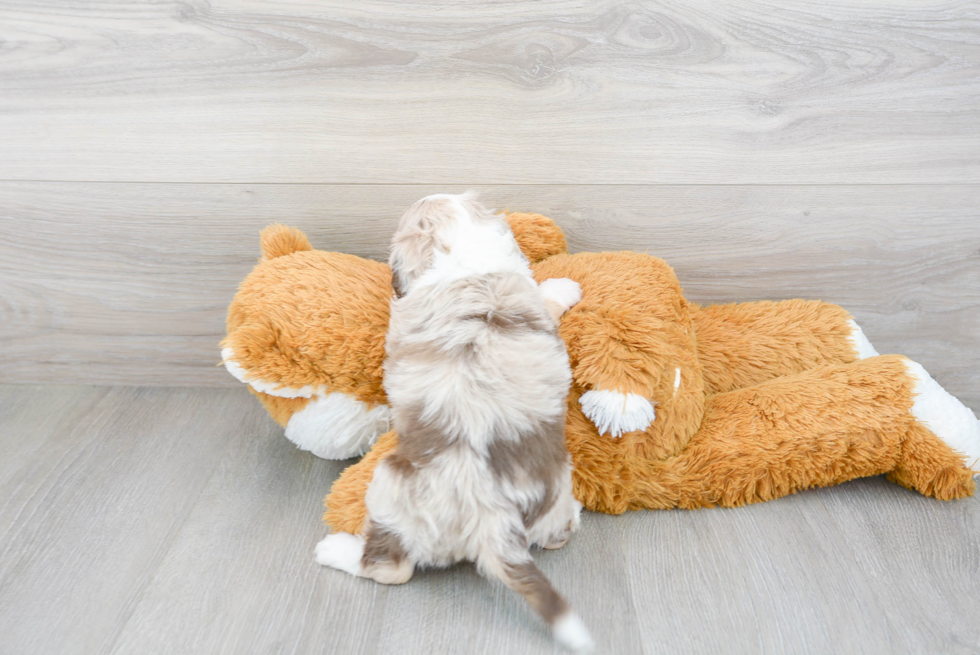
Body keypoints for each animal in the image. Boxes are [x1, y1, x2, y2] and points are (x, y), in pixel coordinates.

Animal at [316, 192, 588, 652]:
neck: (469, 263)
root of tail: (492, 516)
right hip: (554, 492)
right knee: (556, 536)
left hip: (389, 488)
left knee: (390, 568)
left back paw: (337, 549)